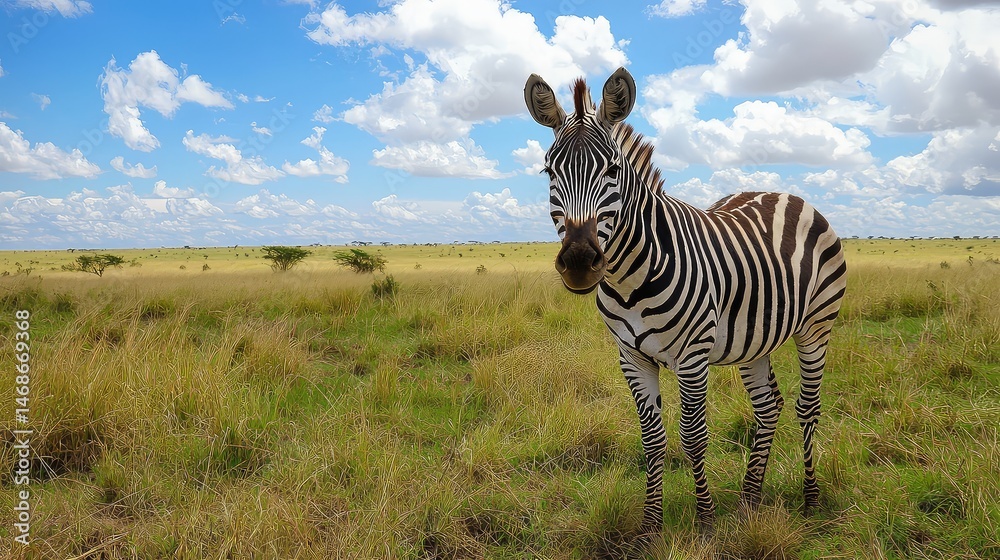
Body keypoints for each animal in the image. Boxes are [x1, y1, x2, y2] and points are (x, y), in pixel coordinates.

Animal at [523, 67, 847, 534]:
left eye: (614, 169)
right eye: (549, 170)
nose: (580, 262)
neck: (629, 279)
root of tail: (782, 193)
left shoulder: (693, 356)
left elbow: (694, 437)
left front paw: (706, 520)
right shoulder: (631, 357)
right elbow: (652, 439)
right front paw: (650, 526)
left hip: (816, 326)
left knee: (807, 407)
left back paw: (810, 498)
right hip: (755, 338)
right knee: (768, 407)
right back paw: (750, 499)